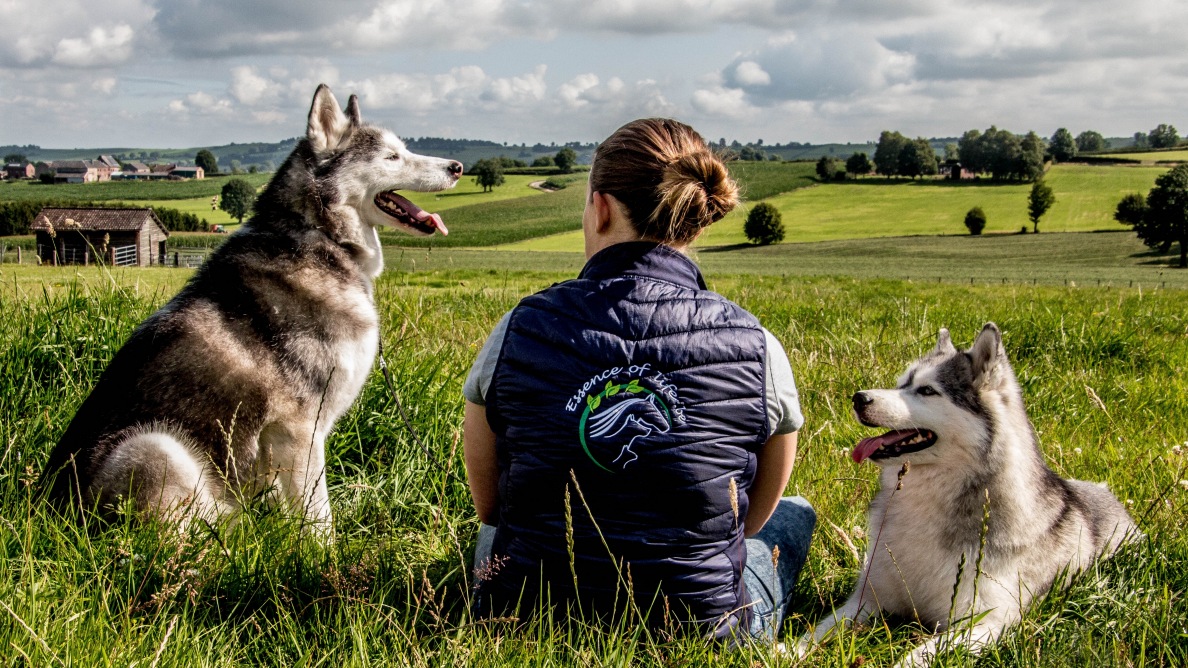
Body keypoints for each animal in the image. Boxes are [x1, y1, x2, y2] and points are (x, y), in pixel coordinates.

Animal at [41, 84, 460, 530]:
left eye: (403, 149)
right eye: (391, 156)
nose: (457, 166)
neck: (321, 237)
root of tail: (47, 507)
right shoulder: (299, 431)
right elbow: (319, 517)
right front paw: (321, 547)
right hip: (155, 447)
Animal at [803, 320, 1135, 660]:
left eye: (927, 390)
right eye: (901, 385)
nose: (858, 398)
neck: (927, 503)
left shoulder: (984, 623)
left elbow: (915, 657)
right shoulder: (867, 599)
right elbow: (815, 632)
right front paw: (787, 650)